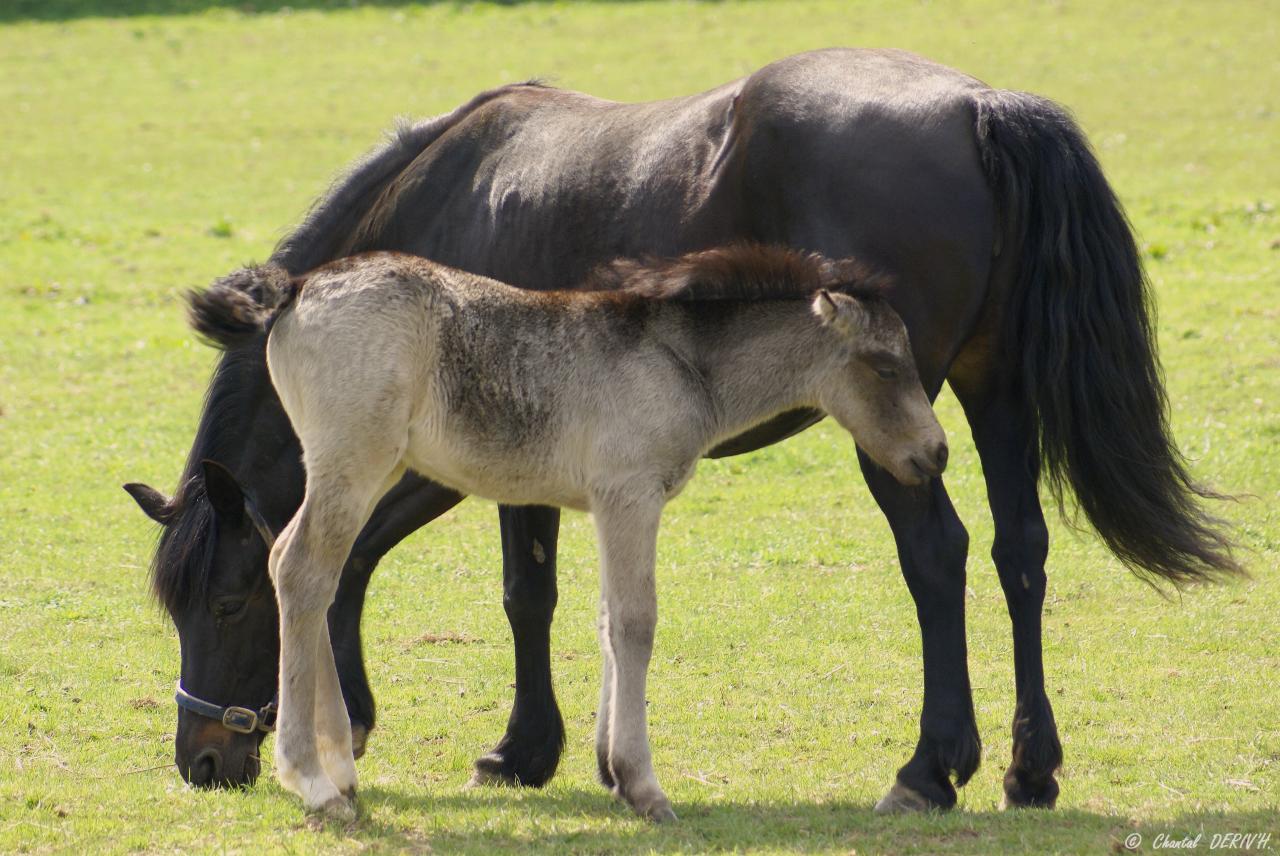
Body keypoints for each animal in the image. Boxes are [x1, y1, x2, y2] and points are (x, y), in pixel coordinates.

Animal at [124, 50, 1233, 813]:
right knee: (1019, 553)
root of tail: (974, 108)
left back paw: (929, 768)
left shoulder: (460, 458)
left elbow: (484, 587)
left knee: (938, 554)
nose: (202, 763)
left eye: (224, 604)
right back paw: (1026, 769)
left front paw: (486, 744)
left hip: (899, 429)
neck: (443, 196)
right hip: (989, 393)